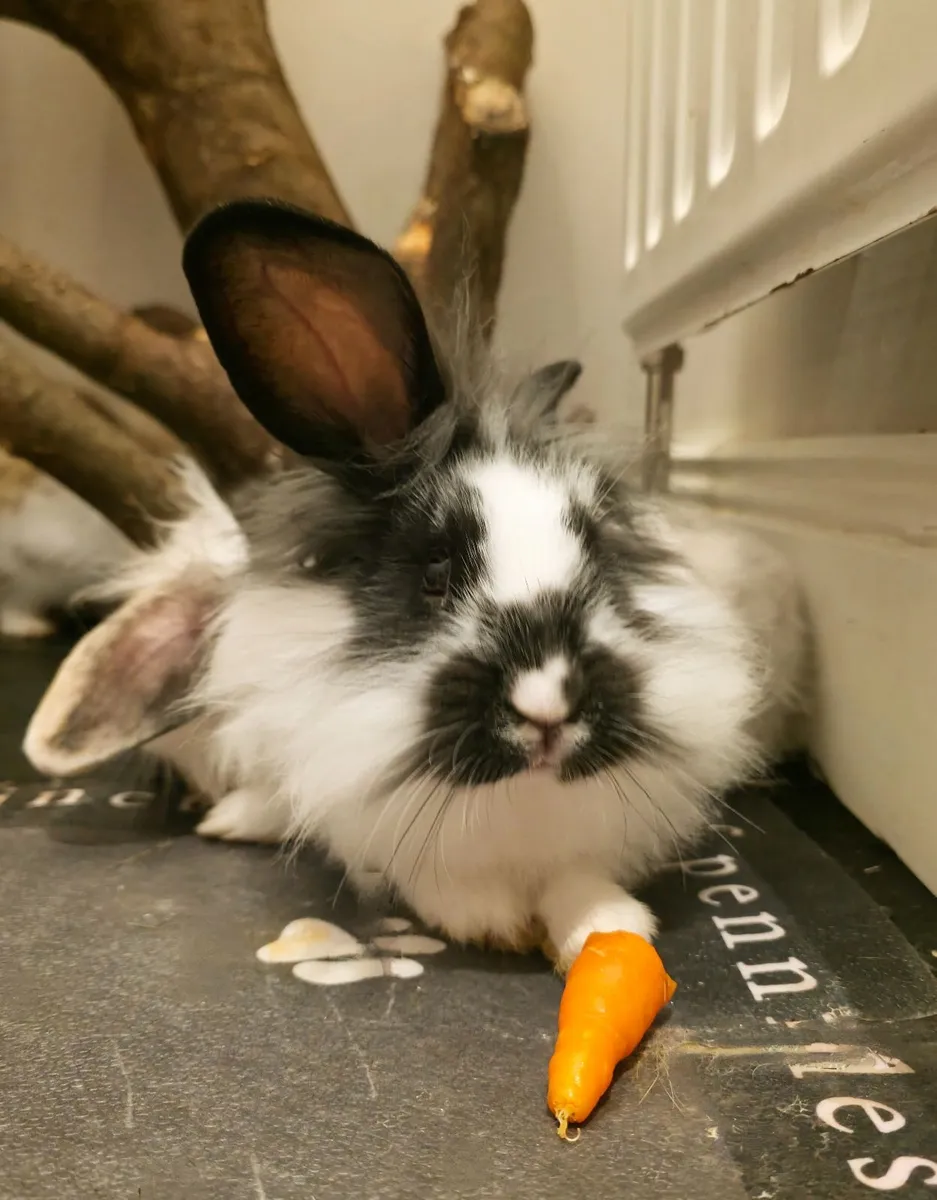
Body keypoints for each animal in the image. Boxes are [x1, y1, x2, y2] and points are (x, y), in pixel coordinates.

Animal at [23, 200, 807, 968]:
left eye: (600, 548)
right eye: (434, 573)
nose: (548, 705)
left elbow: (580, 881)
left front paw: (609, 928)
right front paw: (487, 920)